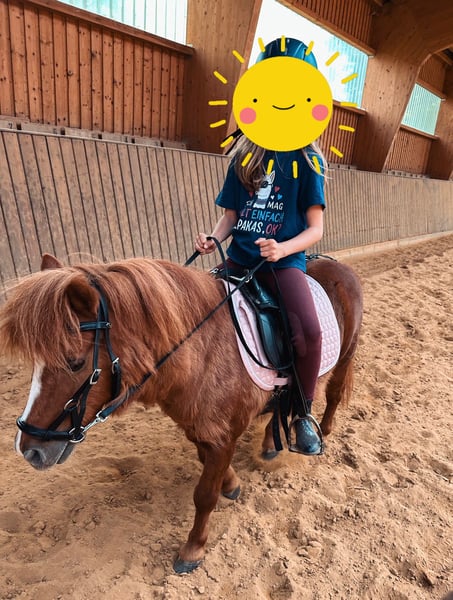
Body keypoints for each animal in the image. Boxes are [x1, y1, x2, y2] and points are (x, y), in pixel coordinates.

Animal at [0, 252, 363, 573]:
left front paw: (193, 549)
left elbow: (204, 495)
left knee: (332, 393)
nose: (28, 449)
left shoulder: (223, 435)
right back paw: (271, 445)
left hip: (345, 353)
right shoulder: (199, 426)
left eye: (74, 362)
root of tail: (336, 265)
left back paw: (318, 432)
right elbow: (207, 464)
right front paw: (231, 483)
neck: (200, 351)